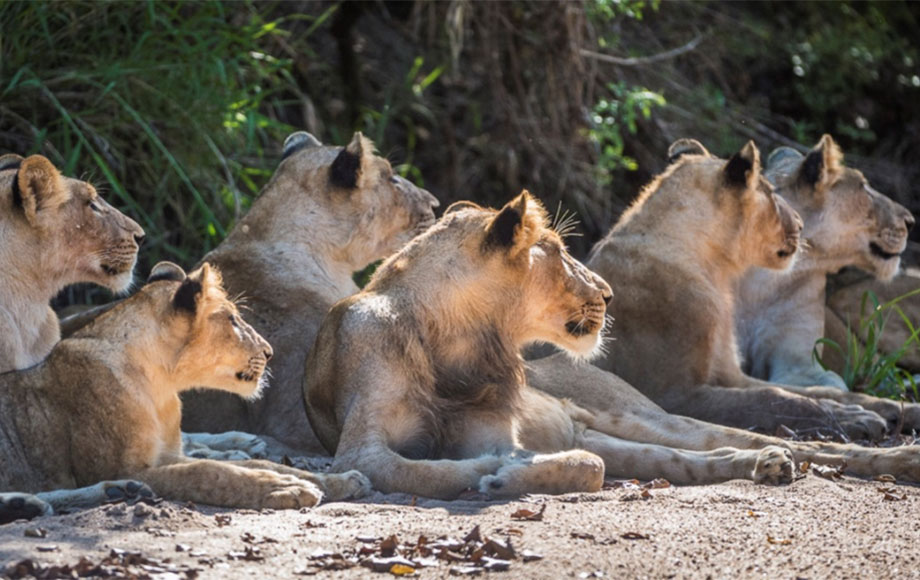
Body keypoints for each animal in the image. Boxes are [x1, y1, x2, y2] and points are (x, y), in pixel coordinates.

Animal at [0, 260, 366, 524]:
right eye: (232, 320)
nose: (269, 351)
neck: (161, 385)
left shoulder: (169, 454)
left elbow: (264, 463)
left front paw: (342, 480)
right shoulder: (126, 467)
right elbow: (210, 472)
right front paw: (285, 488)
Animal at [304, 191, 812, 498]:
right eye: (561, 253)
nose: (608, 294)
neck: (461, 342)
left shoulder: (494, 434)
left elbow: (586, 466)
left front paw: (504, 476)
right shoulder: (361, 452)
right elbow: (429, 469)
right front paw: (496, 475)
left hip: (634, 414)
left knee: (710, 440)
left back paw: (772, 457)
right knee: (678, 459)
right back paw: (765, 464)